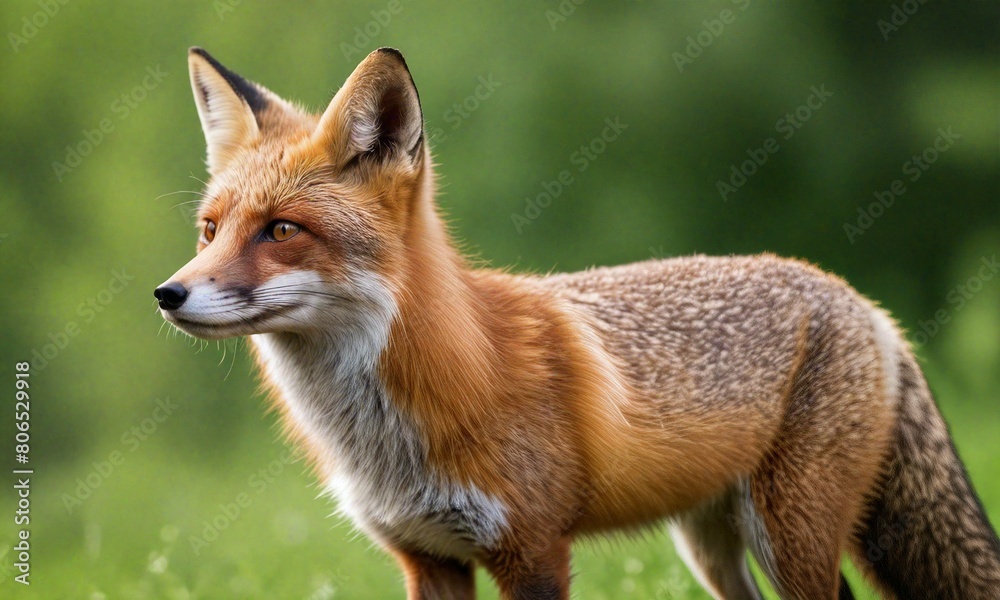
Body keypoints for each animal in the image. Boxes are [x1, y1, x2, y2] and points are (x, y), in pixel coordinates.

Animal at [156, 48, 1000, 600]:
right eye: (210, 230)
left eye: (282, 231)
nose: (169, 293)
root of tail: (861, 301)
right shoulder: (427, 557)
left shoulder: (533, 549)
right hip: (713, 547)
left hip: (788, 532)